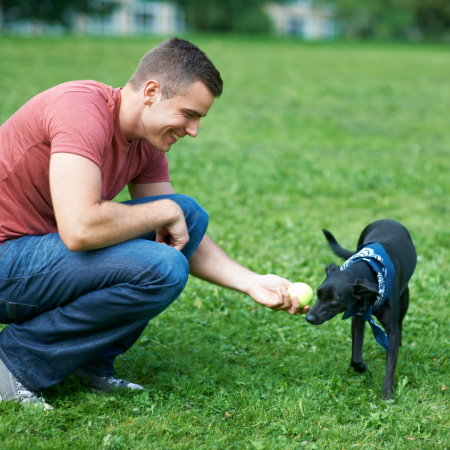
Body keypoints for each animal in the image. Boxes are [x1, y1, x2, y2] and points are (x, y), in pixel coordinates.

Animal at [304, 220, 416, 400]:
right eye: (318, 293)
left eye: (334, 300)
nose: (310, 318)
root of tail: (388, 220)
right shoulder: (357, 317)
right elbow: (355, 356)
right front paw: (361, 367)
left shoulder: (391, 331)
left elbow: (391, 365)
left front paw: (387, 394)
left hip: (404, 298)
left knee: (400, 322)